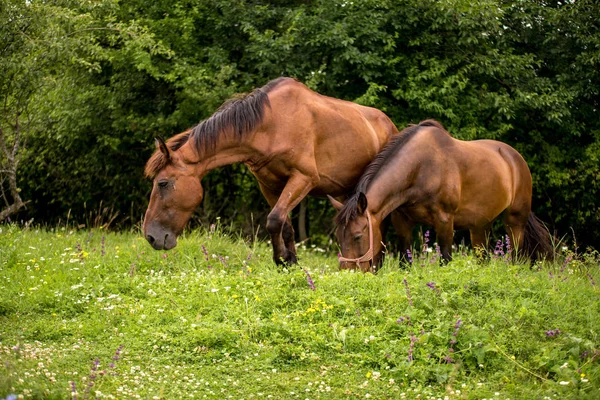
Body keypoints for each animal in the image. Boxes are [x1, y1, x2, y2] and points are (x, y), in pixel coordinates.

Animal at [143, 78, 400, 266]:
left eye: (163, 183)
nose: (151, 236)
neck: (271, 124)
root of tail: (389, 123)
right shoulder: (269, 185)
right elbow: (284, 224)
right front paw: (290, 261)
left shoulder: (303, 178)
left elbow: (274, 220)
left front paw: (281, 259)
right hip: (344, 193)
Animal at [330, 119, 552, 272]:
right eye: (339, 236)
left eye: (358, 236)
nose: (347, 272)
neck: (421, 168)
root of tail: (515, 158)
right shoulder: (402, 221)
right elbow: (405, 260)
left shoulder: (445, 221)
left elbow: (445, 259)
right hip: (480, 226)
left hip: (515, 221)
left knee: (516, 255)